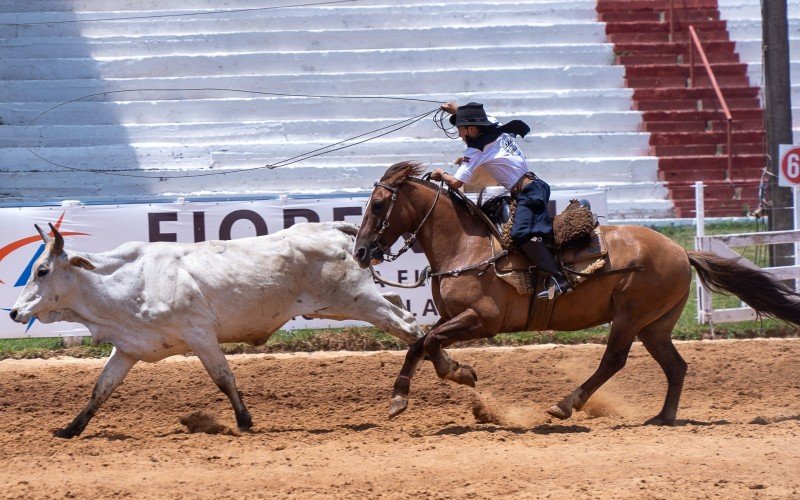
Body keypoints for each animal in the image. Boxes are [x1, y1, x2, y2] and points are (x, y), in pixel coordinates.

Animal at [354, 163, 800, 426]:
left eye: (377, 205)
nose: (360, 252)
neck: (469, 246)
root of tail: (680, 250)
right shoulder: (453, 316)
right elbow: (421, 342)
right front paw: (418, 391)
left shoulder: (483, 320)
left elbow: (429, 341)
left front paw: (451, 376)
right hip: (655, 326)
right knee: (676, 367)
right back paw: (663, 417)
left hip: (630, 318)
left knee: (614, 360)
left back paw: (566, 404)